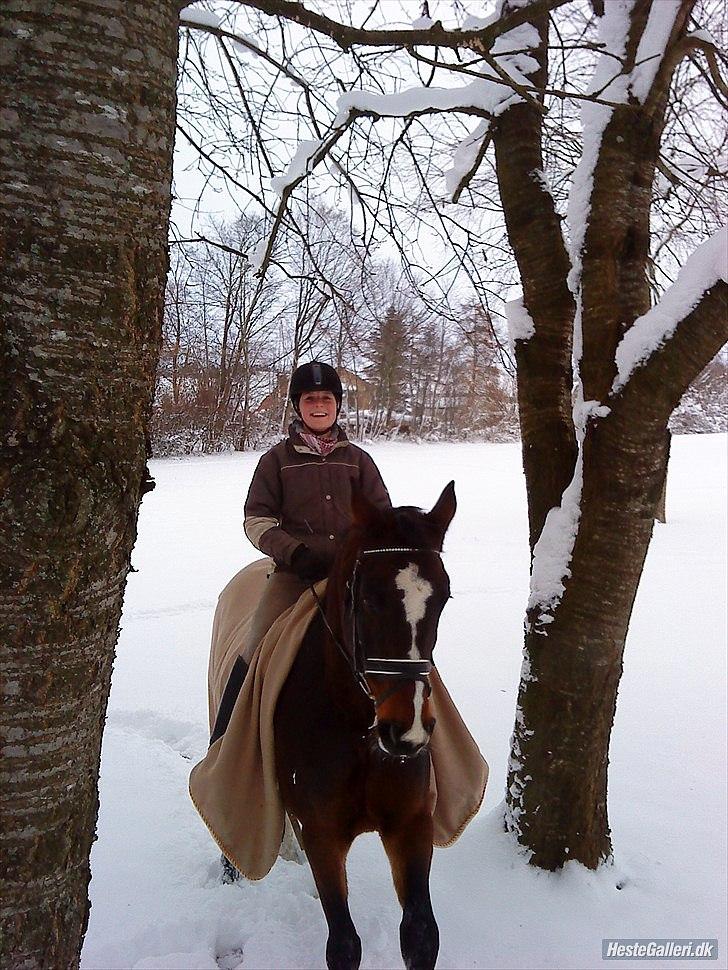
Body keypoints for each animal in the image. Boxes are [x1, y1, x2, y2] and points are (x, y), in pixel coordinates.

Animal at [272, 480, 456, 964]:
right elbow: (343, 945)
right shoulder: (322, 834)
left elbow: (421, 934)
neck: (355, 728)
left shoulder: (411, 826)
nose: (407, 730)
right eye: (370, 597)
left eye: (443, 598)